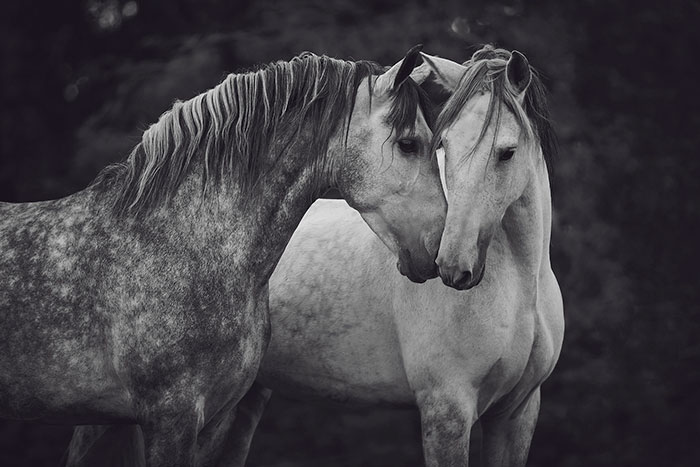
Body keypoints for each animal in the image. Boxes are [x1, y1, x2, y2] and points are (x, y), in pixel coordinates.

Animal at [68, 46, 563, 466]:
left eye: (507, 152)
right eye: (445, 146)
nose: (452, 266)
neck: (519, 282)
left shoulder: (517, 414)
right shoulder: (448, 409)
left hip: (241, 405)